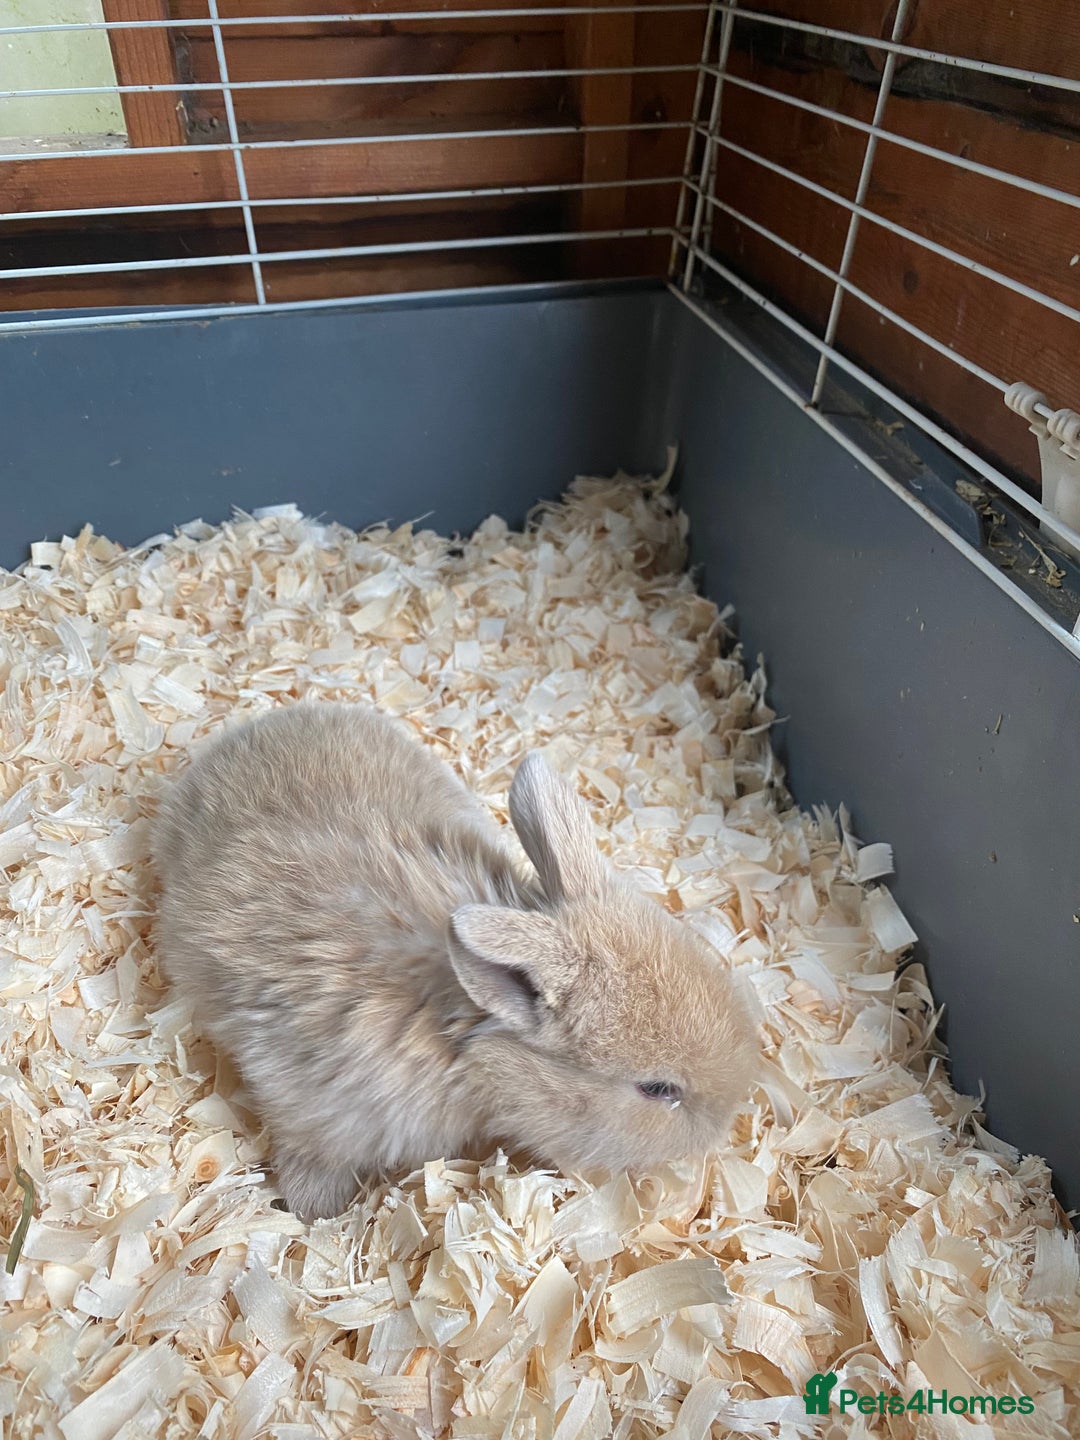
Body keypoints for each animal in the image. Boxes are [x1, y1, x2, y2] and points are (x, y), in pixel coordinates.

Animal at [152, 702, 759, 1221]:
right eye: (657, 1090)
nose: (723, 1127)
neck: (466, 1040)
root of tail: (242, 734)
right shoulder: (314, 1110)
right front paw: (314, 1211)